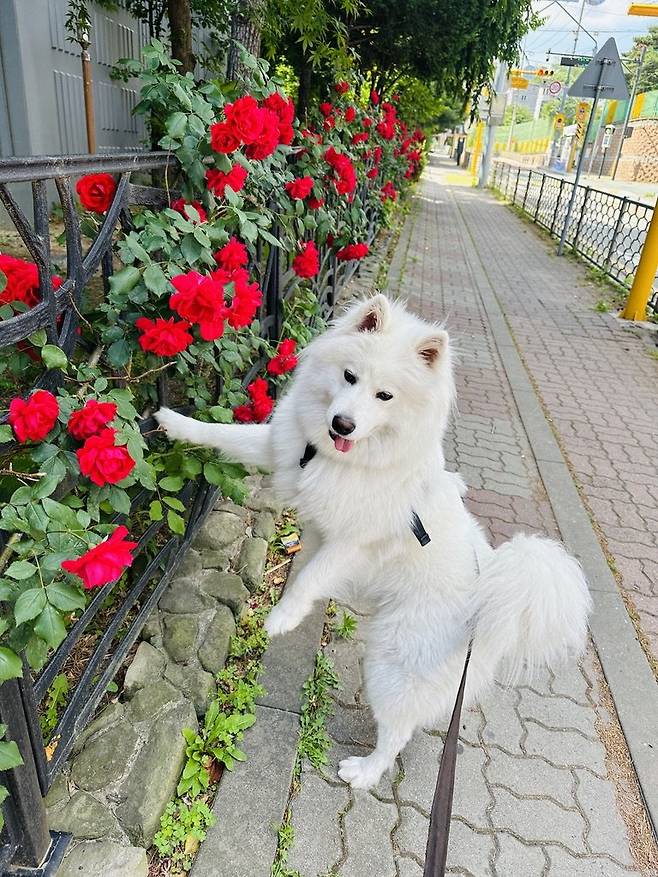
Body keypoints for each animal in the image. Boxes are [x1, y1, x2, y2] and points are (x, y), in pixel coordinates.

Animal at [156, 298, 592, 792]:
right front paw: (173, 423)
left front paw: (281, 619)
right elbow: (225, 434)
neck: (341, 457)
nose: (342, 424)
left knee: (397, 733)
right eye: (349, 377)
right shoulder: (278, 446)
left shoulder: (352, 544)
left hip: (391, 664)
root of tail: (494, 609)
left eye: (385, 396)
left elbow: (309, 578)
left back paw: (362, 772)